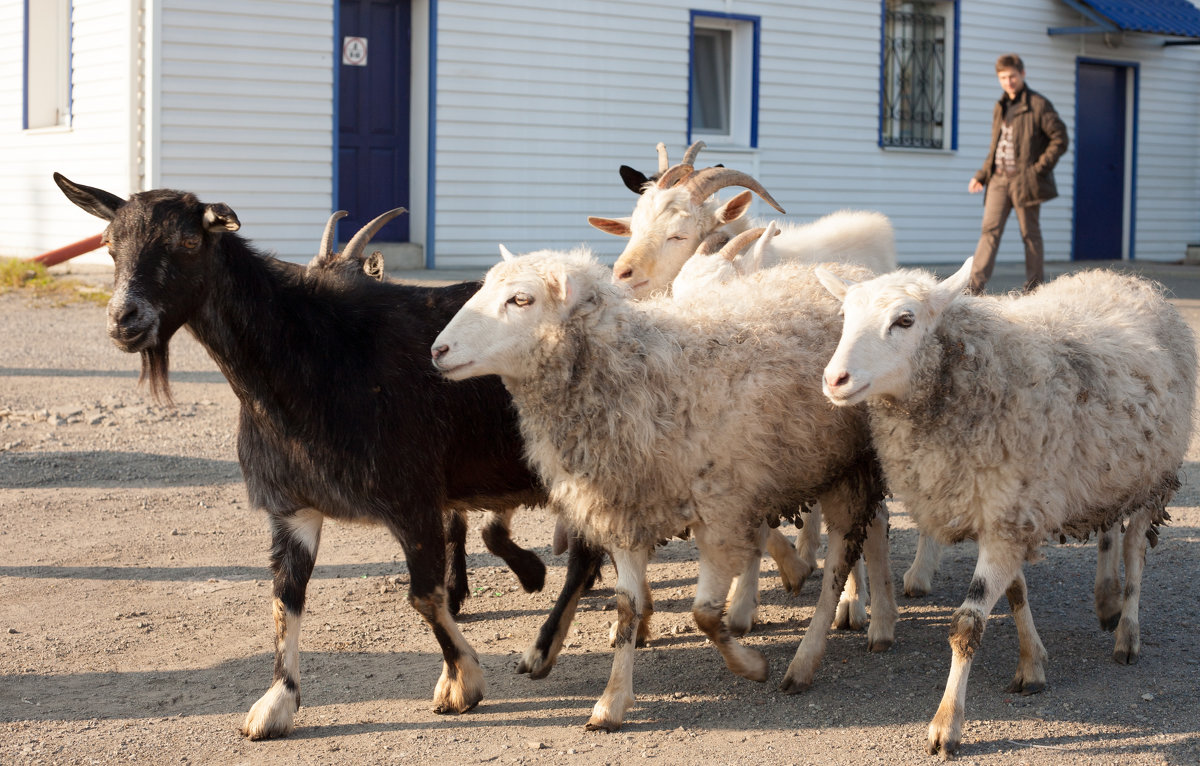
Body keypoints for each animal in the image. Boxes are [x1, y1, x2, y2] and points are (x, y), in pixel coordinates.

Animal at [55, 174, 544, 739]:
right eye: (109, 245)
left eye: (189, 241)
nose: (124, 320)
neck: (317, 356)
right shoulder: (292, 507)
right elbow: (284, 599)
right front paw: (276, 703)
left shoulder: (414, 497)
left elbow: (423, 595)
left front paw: (461, 681)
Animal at [434, 250, 902, 729]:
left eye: (521, 299)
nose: (437, 351)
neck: (638, 375)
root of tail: (852, 272)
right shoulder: (627, 508)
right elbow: (627, 606)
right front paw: (612, 701)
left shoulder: (721, 512)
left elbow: (704, 614)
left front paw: (752, 666)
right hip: (834, 464)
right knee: (873, 532)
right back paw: (878, 620)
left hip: (851, 465)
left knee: (842, 560)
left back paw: (813, 654)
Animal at [811, 261, 1195, 758]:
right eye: (844, 317)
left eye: (905, 320)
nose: (834, 380)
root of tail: (1123, 279)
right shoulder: (1009, 514)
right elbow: (1016, 593)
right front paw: (1033, 664)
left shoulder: (1008, 517)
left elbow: (967, 624)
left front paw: (946, 724)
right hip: (1105, 472)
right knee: (1109, 530)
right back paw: (1106, 599)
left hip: (1156, 476)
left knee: (1135, 548)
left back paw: (1127, 631)